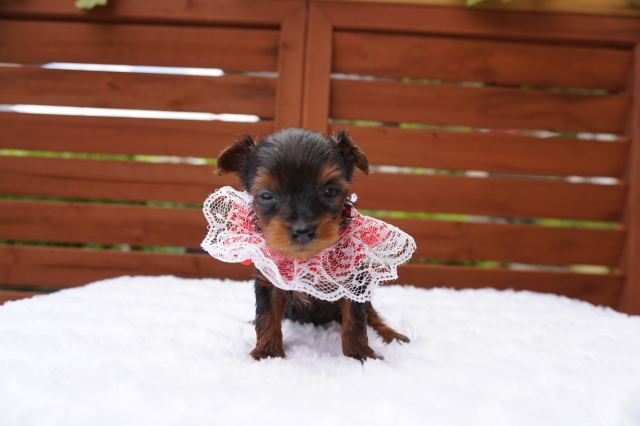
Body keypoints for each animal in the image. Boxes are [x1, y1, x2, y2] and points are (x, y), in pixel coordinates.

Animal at [215, 128, 410, 361]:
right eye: (266, 195)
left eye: (330, 191)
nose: (302, 230)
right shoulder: (268, 281)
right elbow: (266, 317)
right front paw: (267, 353)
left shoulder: (354, 282)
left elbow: (356, 320)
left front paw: (359, 355)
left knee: (371, 315)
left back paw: (390, 334)